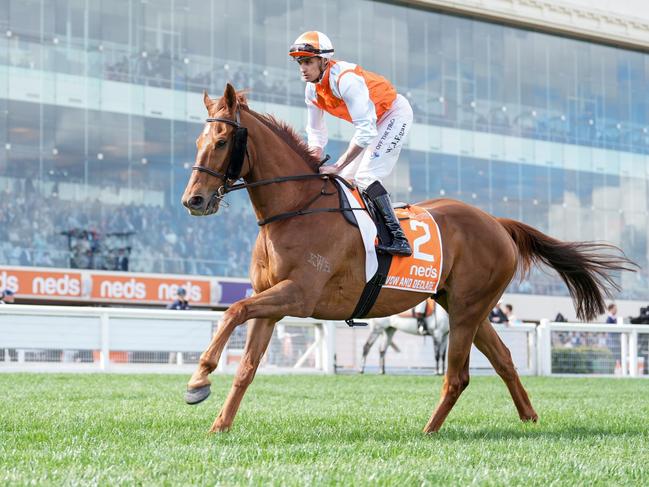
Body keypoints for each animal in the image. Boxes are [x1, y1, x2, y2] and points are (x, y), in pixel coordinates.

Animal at [180, 83, 636, 434]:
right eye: (198, 142)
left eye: (221, 142)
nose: (193, 201)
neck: (296, 208)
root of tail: (496, 221)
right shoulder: (272, 301)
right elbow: (246, 362)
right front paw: (219, 422)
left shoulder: (299, 295)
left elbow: (233, 309)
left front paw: (198, 379)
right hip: (466, 306)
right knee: (504, 361)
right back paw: (529, 418)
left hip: (465, 310)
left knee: (457, 376)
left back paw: (429, 430)